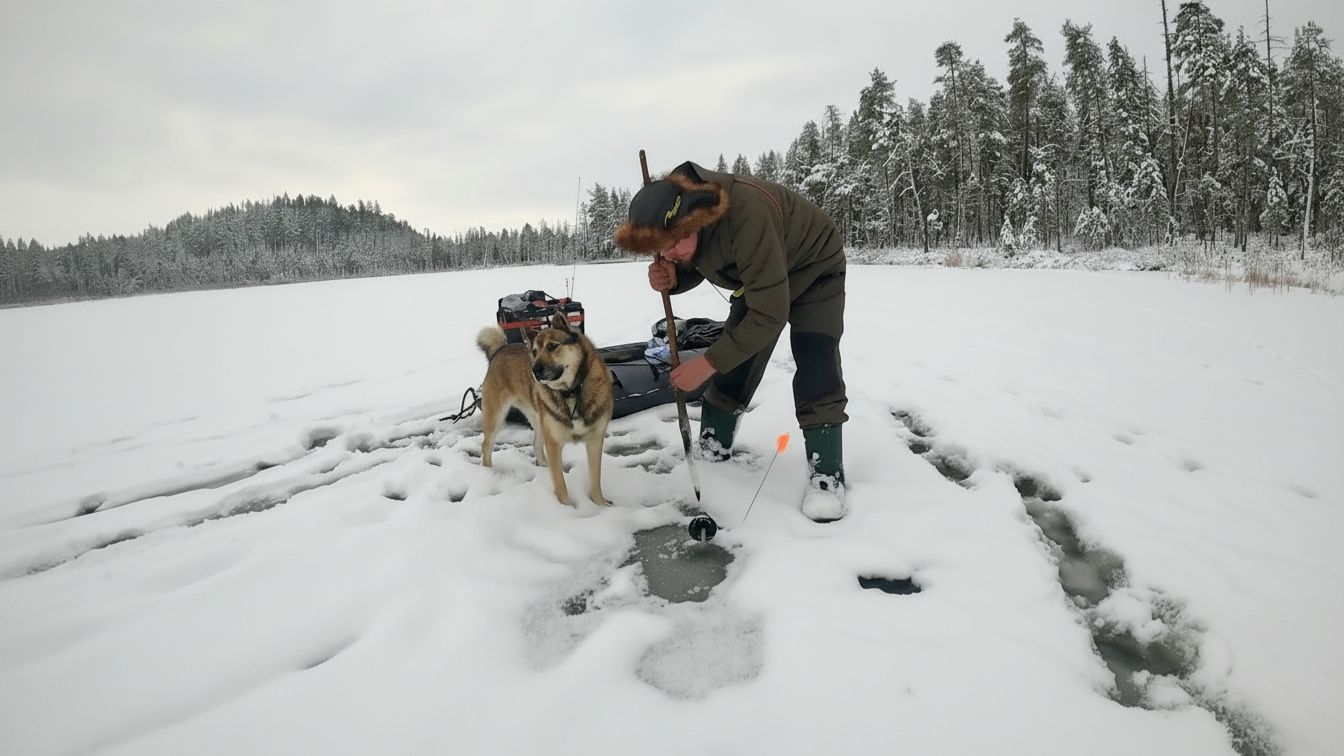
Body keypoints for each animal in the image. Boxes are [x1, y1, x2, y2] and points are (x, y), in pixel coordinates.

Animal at [475, 312, 614, 506]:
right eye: (534, 352)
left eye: (552, 346)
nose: (534, 370)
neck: (571, 392)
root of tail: (499, 350)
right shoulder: (554, 443)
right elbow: (560, 484)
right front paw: (568, 509)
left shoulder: (595, 439)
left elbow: (595, 479)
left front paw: (601, 505)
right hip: (495, 416)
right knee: (486, 446)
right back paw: (488, 473)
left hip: (539, 419)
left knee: (535, 444)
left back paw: (543, 465)